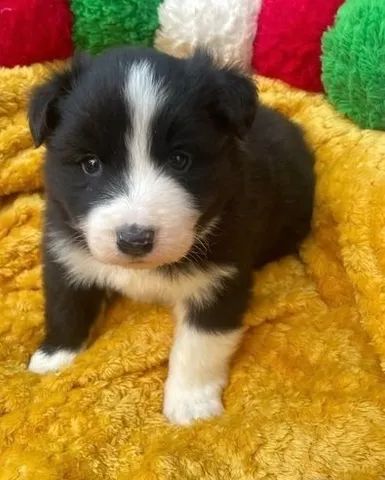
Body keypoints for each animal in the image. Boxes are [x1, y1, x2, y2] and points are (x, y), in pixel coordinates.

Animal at [27, 47, 316, 426]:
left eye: (180, 160)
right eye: (90, 164)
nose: (134, 240)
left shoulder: (221, 278)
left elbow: (199, 343)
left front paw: (191, 404)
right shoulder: (65, 249)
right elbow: (66, 304)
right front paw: (55, 356)